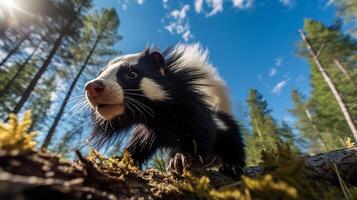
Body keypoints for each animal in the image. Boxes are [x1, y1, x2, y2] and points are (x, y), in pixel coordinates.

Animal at [84, 43, 245, 177]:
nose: (92, 86)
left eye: (132, 74)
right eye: (100, 73)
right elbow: (138, 145)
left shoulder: (190, 111)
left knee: (234, 145)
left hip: (226, 128)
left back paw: (231, 167)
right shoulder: (148, 130)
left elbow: (201, 132)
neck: (160, 119)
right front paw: (119, 160)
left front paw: (182, 158)